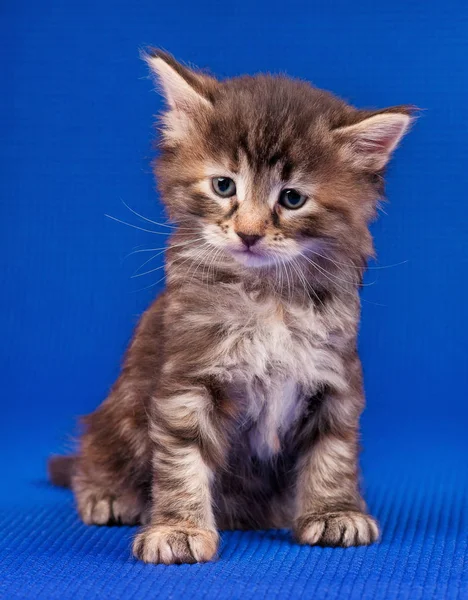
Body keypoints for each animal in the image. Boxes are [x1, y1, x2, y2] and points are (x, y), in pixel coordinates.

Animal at [47, 50, 414, 564]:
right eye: (224, 186)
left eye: (292, 198)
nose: (248, 233)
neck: (269, 297)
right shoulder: (188, 378)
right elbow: (182, 457)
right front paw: (178, 529)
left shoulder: (335, 379)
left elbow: (333, 452)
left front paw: (334, 512)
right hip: (113, 419)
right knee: (93, 454)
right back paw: (107, 494)